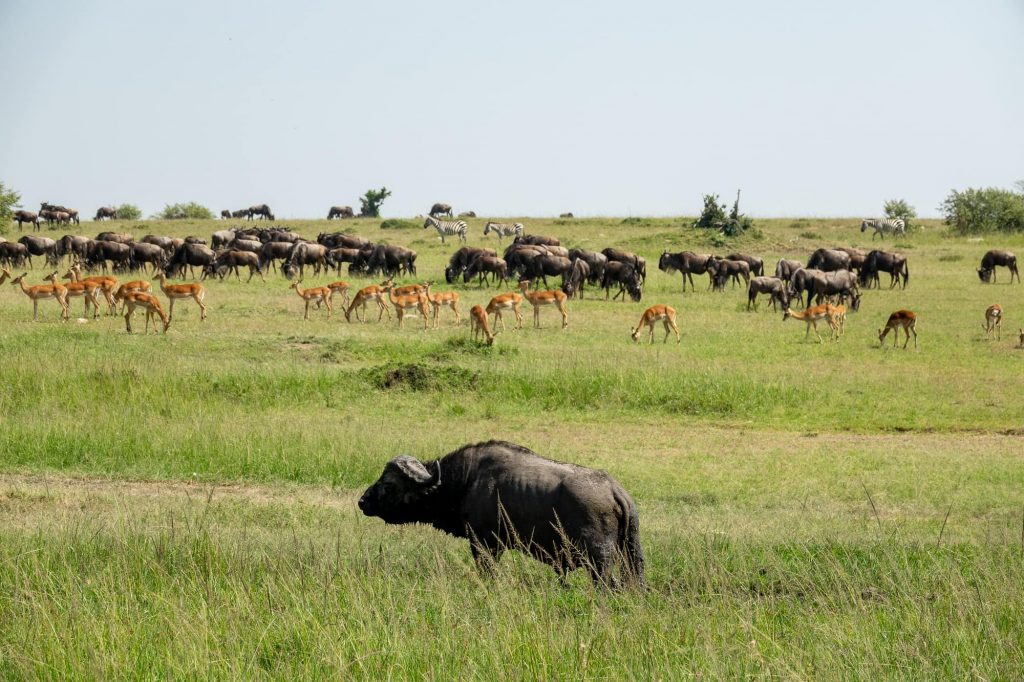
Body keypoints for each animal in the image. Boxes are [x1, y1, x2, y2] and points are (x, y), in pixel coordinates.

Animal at [360, 440, 643, 585]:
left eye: (388, 483)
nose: (362, 501)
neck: (467, 480)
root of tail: (613, 489)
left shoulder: (484, 545)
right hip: (631, 556)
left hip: (599, 563)